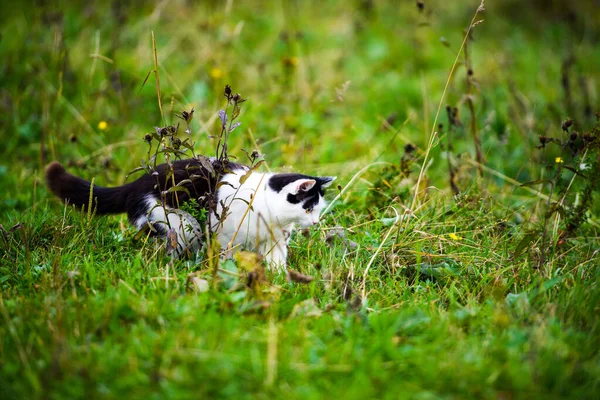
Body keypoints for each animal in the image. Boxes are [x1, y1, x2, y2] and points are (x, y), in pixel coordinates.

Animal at [45, 158, 338, 270]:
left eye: (318, 208)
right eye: (308, 207)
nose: (315, 221)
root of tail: (137, 184)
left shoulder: (274, 240)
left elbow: (276, 262)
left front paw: (280, 280)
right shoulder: (225, 235)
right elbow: (226, 257)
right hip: (181, 223)